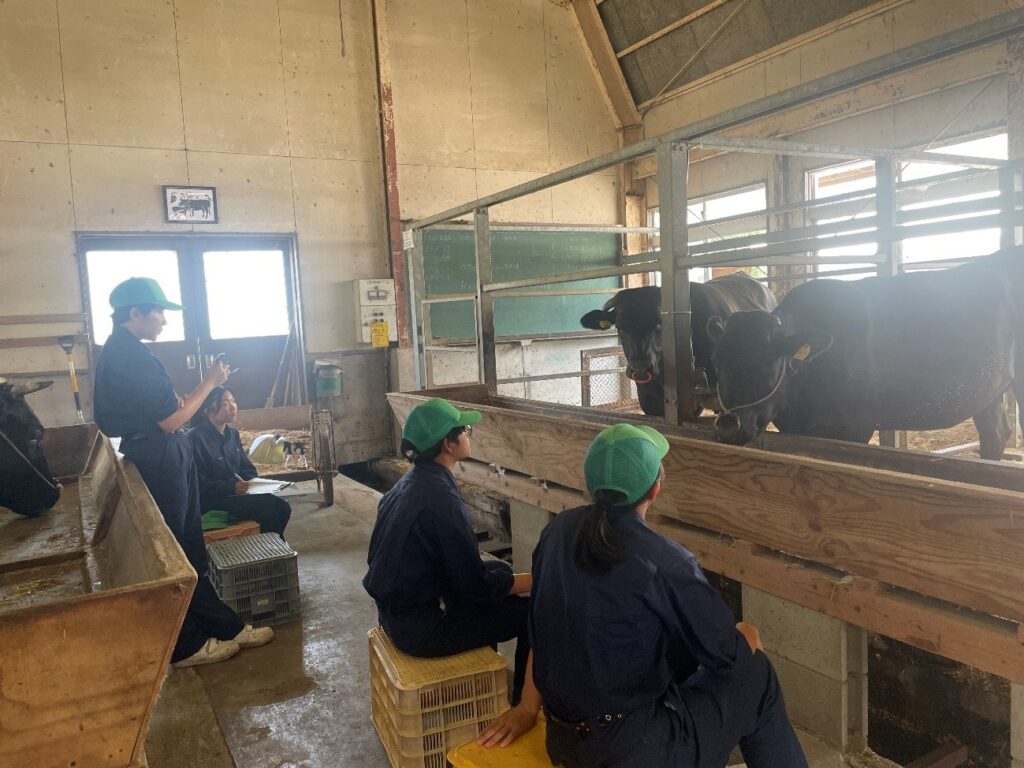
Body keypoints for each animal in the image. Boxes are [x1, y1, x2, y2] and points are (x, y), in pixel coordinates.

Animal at [707, 248, 1024, 459]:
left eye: (768, 363)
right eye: (718, 363)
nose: (728, 425)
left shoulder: (855, 428)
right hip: (988, 390)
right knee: (995, 434)